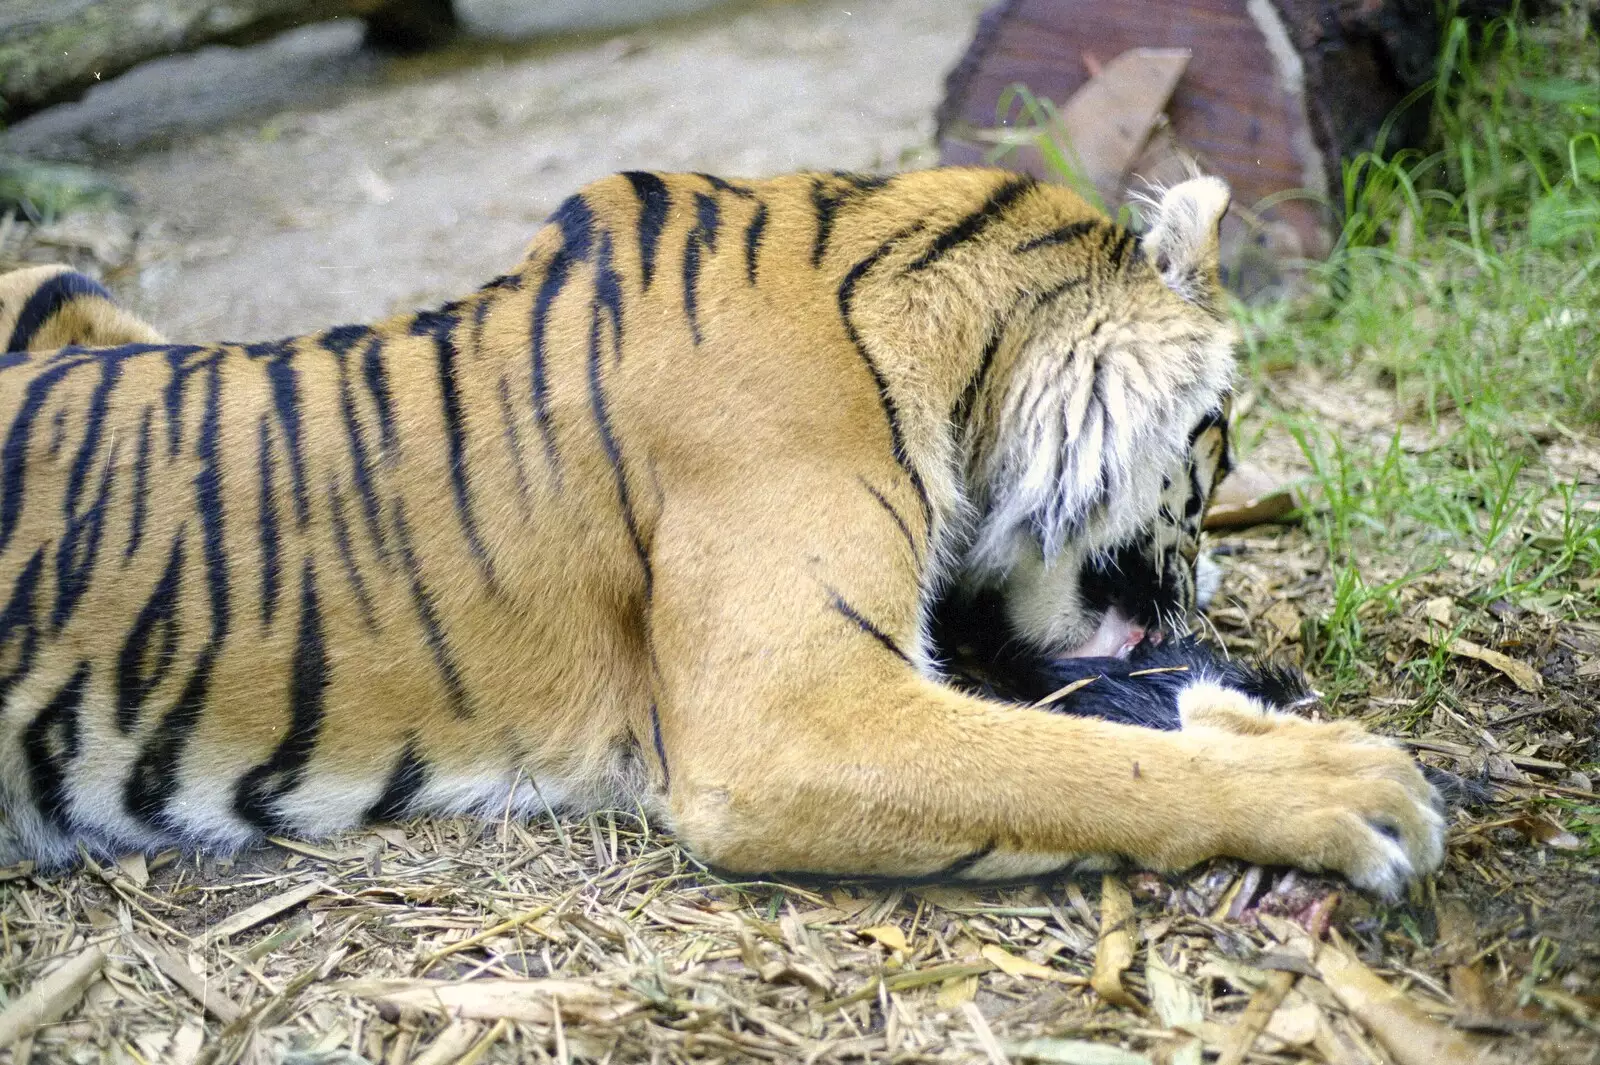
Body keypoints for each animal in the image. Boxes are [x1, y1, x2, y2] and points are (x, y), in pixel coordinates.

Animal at [0, 167, 1446, 895]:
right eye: (1217, 451)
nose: (1194, 596)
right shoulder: (788, 724)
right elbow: (1089, 768)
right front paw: (1352, 789)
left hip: (50, 280)